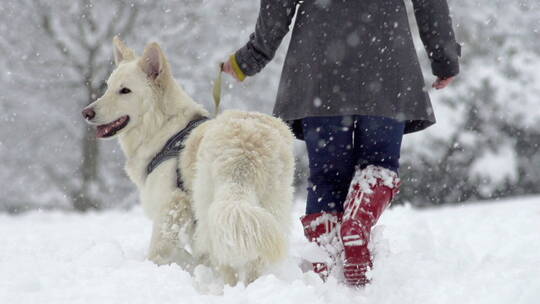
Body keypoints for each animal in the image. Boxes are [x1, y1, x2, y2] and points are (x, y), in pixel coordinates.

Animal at [83, 37, 296, 284]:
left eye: (125, 90)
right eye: (108, 87)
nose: (86, 113)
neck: (163, 127)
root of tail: (246, 150)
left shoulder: (171, 204)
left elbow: (161, 250)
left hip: (208, 207)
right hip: (269, 208)